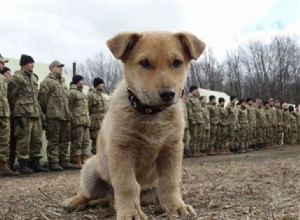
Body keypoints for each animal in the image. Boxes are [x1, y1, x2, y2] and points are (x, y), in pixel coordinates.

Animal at [62, 31, 205, 220]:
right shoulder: (122, 149)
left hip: (149, 190)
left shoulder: (171, 148)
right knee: (86, 193)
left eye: (177, 63)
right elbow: (127, 184)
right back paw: (75, 202)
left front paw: (176, 206)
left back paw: (158, 205)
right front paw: (130, 212)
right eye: (144, 63)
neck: (151, 113)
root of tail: (110, 197)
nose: (168, 94)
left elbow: (170, 182)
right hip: (90, 169)